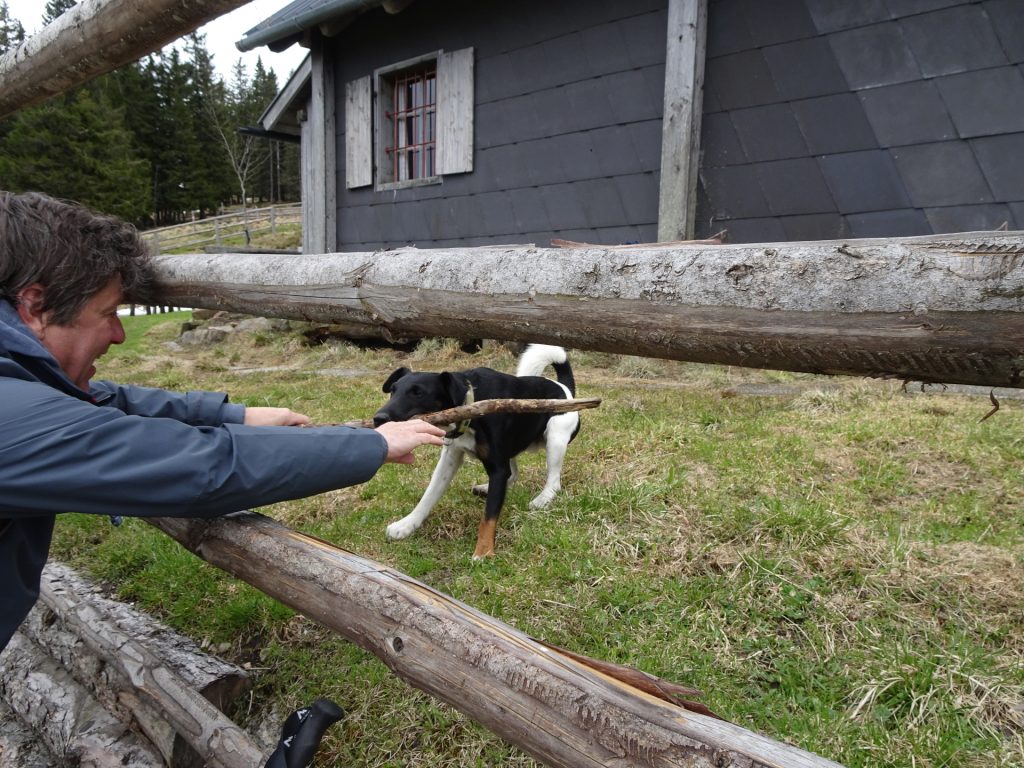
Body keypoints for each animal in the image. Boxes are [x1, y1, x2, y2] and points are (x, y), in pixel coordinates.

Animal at [374, 348, 585, 561]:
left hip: (555, 437)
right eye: (393, 391)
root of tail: (565, 389)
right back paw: (485, 488)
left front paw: (483, 552)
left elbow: (489, 517)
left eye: (418, 393)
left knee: (554, 482)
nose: (378, 418)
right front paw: (407, 524)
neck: (471, 400)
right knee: (513, 473)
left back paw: (543, 499)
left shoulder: (498, 467)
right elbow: (429, 495)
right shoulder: (451, 457)